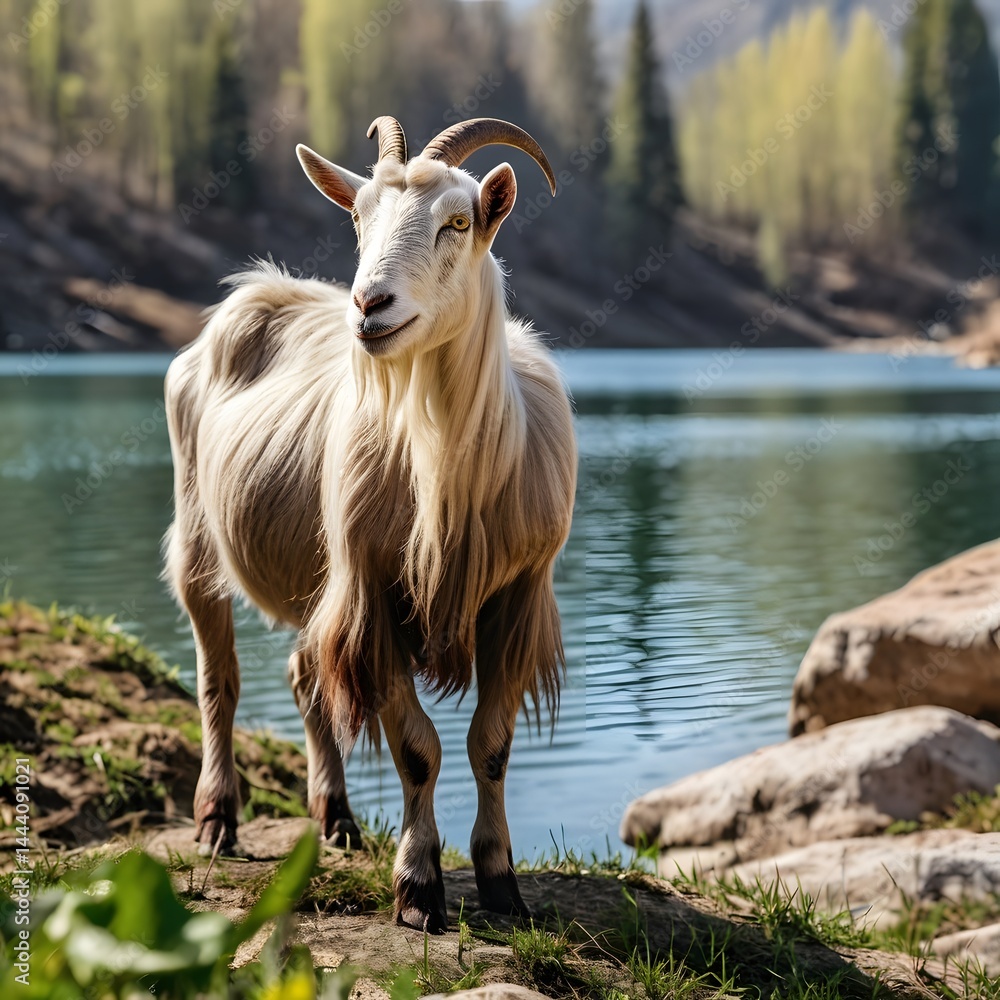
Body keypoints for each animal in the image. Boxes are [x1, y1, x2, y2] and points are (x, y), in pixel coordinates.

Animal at [163, 117, 577, 932]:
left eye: (459, 220)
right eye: (357, 217)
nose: (369, 305)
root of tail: (256, 292)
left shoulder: (518, 596)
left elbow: (492, 746)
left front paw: (500, 881)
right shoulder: (374, 590)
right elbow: (417, 749)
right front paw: (418, 889)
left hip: (315, 575)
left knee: (302, 677)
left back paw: (337, 819)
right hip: (198, 536)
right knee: (218, 680)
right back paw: (218, 820)